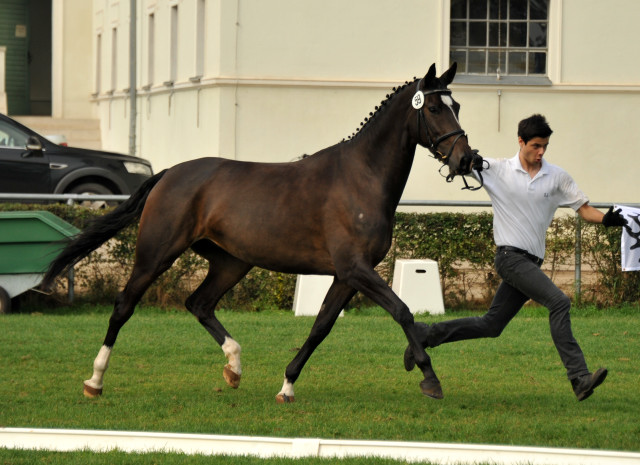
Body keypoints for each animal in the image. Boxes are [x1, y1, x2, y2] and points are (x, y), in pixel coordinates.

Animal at [43, 62, 484, 402]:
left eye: (458, 105)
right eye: (433, 107)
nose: (466, 159)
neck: (361, 178)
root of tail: (169, 173)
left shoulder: (347, 276)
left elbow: (320, 327)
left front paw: (287, 386)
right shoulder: (356, 269)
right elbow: (403, 310)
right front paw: (429, 377)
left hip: (230, 262)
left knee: (199, 303)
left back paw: (234, 367)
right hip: (157, 254)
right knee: (124, 306)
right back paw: (95, 381)